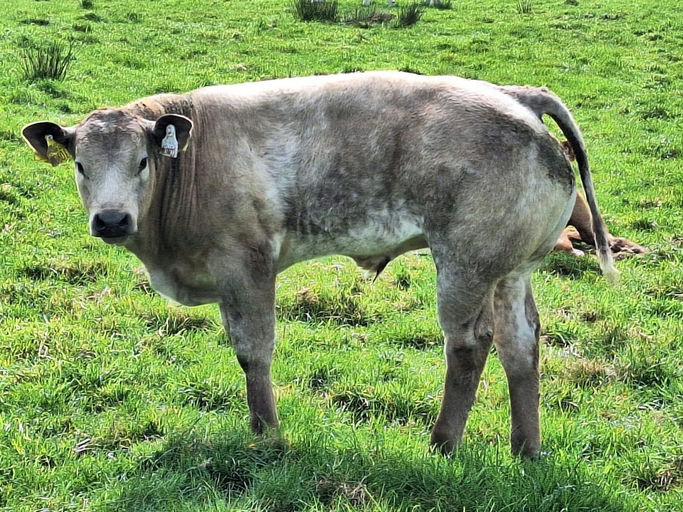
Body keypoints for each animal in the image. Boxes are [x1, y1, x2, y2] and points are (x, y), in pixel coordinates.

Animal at [22, 71, 617, 458]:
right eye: (80, 165)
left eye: (143, 161)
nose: (112, 219)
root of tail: (515, 94)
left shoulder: (246, 267)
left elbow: (253, 352)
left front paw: (267, 434)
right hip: (508, 271)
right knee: (521, 346)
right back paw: (526, 448)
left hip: (465, 266)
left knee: (470, 345)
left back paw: (443, 444)